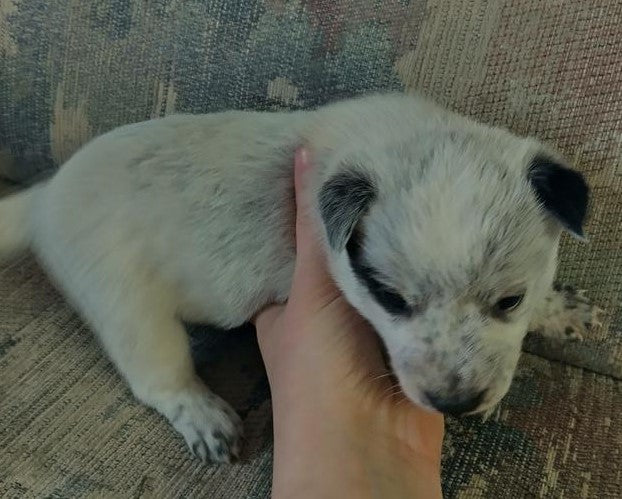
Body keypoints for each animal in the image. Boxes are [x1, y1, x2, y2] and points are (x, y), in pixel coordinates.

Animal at [0, 94, 600, 464]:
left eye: (510, 300)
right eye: (389, 298)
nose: (453, 404)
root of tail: (43, 198)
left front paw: (562, 311)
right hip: (127, 305)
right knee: (158, 376)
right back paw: (203, 414)